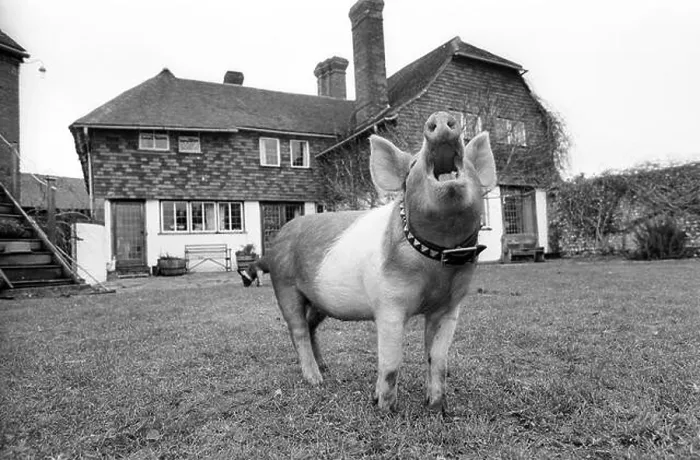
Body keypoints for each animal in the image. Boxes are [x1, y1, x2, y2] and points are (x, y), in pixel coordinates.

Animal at [265, 111, 496, 412]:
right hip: (285, 284)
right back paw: (315, 380)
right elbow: (391, 361)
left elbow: (438, 360)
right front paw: (385, 408)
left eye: (468, 164)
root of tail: (282, 232)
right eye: (412, 168)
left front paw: (437, 408)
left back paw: (326, 368)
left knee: (310, 326)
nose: (441, 116)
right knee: (298, 330)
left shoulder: (449, 307)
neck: (437, 260)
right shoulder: (389, 303)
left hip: (317, 299)